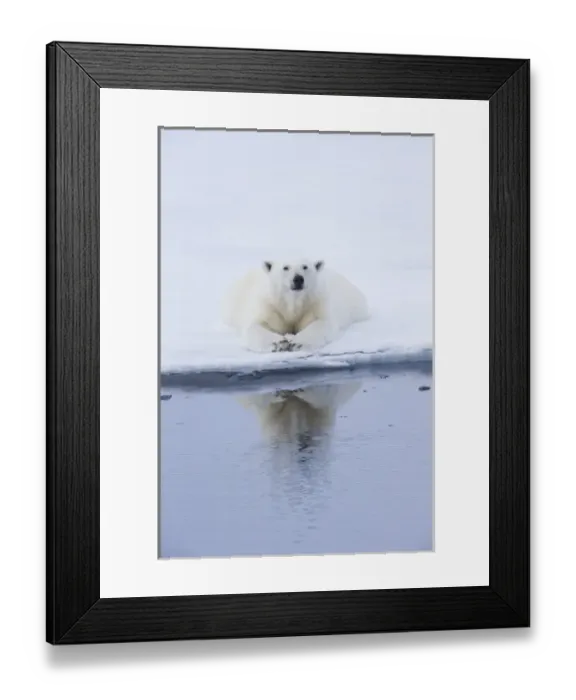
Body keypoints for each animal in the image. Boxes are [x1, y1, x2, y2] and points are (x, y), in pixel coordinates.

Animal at [222, 258, 370, 353]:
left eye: (305, 266)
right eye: (286, 267)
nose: (298, 279)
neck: (293, 302)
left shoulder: (314, 302)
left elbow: (322, 322)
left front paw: (296, 343)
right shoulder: (269, 304)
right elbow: (256, 325)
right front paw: (279, 343)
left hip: (355, 302)